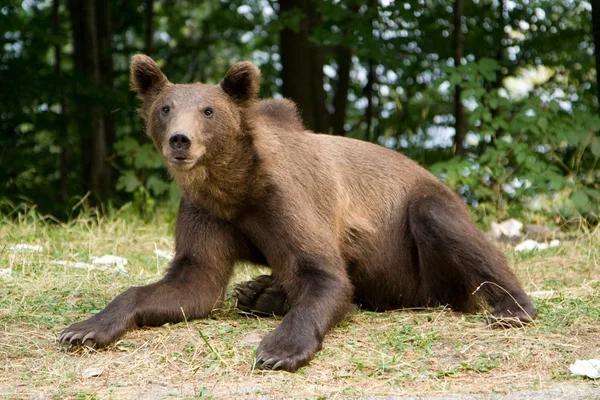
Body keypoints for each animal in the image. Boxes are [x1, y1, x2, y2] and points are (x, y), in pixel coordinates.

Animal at [61, 54, 536, 372]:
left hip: (415, 237)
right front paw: (84, 328)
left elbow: (325, 275)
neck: (235, 187)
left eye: (208, 110)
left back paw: (512, 308)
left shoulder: (287, 201)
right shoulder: (208, 213)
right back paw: (260, 291)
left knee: (447, 229)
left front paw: (279, 350)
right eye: (165, 107)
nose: (181, 140)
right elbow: (191, 281)